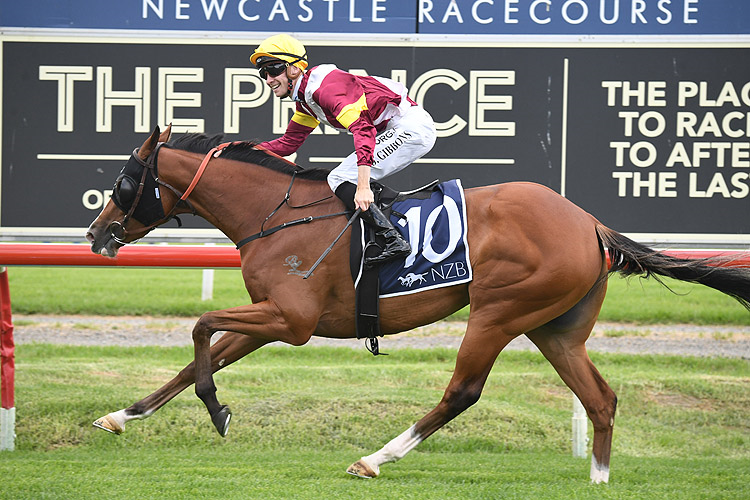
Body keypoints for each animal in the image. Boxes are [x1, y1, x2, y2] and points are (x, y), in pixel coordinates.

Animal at [85, 125, 750, 484]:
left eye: (123, 181)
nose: (96, 235)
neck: (274, 216)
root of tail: (590, 223)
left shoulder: (293, 321)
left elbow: (200, 329)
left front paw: (218, 411)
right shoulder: (270, 317)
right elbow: (199, 357)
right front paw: (123, 415)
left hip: (499, 312)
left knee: (463, 392)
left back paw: (376, 458)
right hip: (556, 328)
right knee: (601, 398)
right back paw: (599, 479)